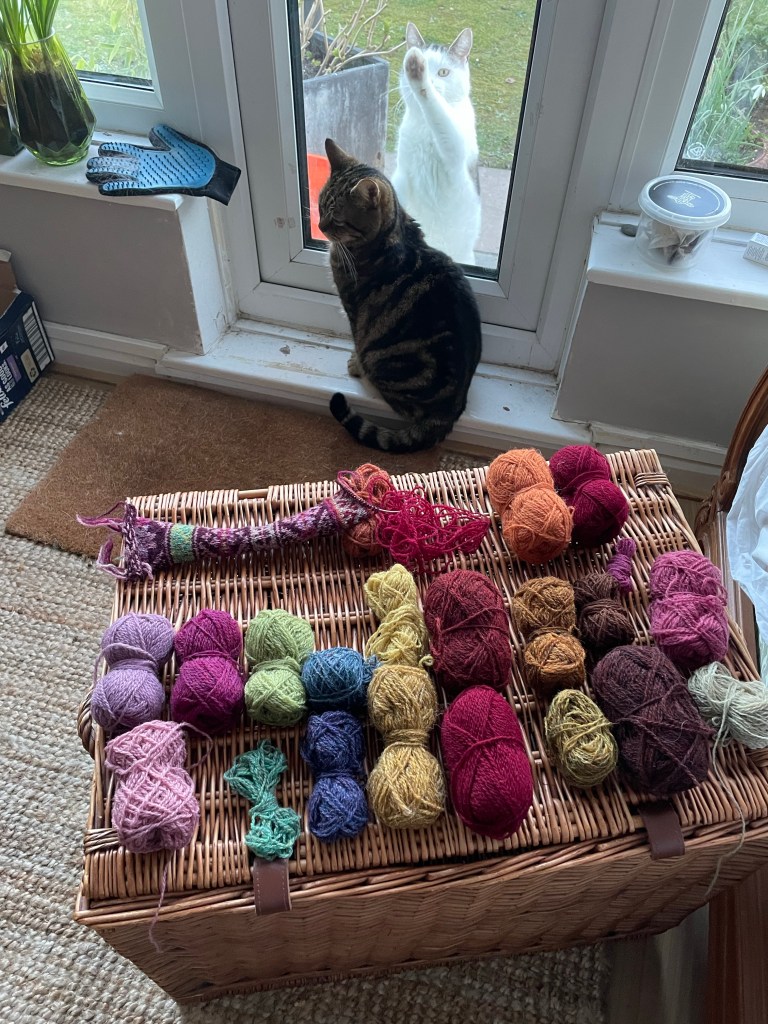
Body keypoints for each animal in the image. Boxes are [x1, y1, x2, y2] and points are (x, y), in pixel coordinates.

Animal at [319, 137, 482, 454]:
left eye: (338, 221)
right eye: (320, 207)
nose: (319, 226)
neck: (392, 234)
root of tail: (450, 409)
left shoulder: (354, 312)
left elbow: (356, 339)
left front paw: (354, 363)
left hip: (382, 360)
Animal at [391, 22, 481, 265]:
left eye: (443, 72)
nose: (430, 78)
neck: (424, 125)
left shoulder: (454, 151)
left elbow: (438, 112)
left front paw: (419, 76)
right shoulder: (401, 173)